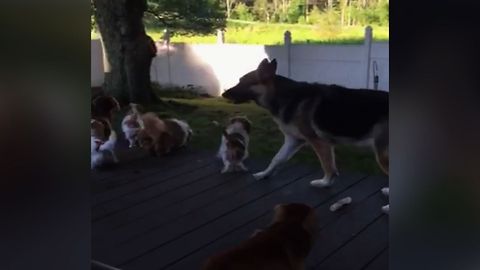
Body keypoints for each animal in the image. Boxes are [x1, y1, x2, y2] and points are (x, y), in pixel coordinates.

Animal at [223, 59, 388, 210]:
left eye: (242, 81)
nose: (223, 93)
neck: (283, 95)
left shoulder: (319, 143)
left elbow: (328, 166)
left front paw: (325, 183)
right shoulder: (293, 140)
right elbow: (277, 159)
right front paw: (264, 174)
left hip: (382, 155)